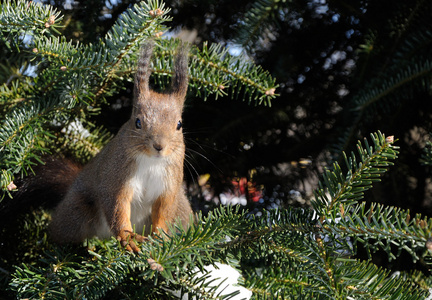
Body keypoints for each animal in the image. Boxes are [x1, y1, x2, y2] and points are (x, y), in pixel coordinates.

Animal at [10, 41, 193, 252]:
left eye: (179, 124)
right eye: (137, 122)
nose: (159, 146)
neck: (150, 161)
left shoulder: (169, 184)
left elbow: (164, 210)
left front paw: (160, 237)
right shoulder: (116, 177)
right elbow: (117, 207)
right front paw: (127, 237)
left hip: (182, 209)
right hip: (78, 211)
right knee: (61, 233)